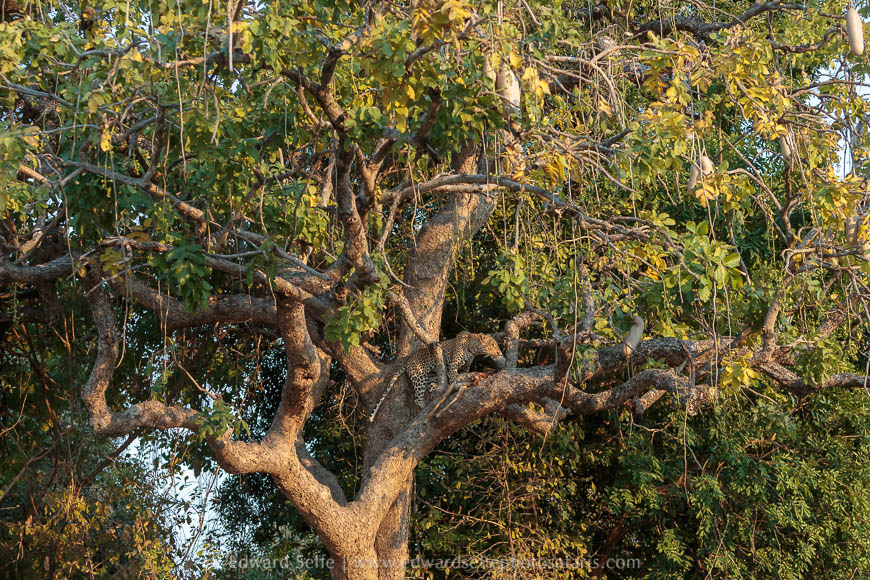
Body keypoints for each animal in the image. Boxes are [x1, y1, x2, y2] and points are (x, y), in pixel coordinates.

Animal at [368, 332, 506, 423]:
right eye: (492, 345)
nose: (498, 352)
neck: (472, 348)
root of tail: (407, 361)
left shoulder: (465, 368)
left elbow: (464, 373)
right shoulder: (453, 365)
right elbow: (455, 377)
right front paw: (457, 383)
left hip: (432, 375)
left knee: (431, 386)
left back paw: (435, 390)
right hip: (419, 376)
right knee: (417, 398)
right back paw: (424, 407)